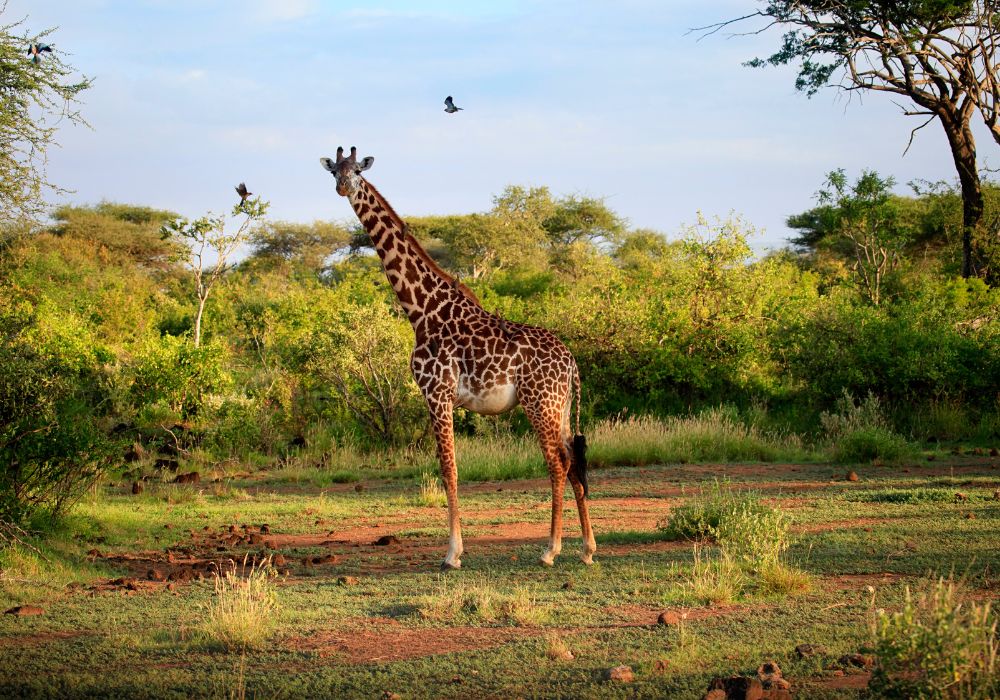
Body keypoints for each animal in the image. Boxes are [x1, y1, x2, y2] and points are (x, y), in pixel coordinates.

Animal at [322, 148, 592, 568]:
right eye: (335, 170)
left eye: (357, 173)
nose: (342, 187)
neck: (420, 309)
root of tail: (571, 362)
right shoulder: (440, 397)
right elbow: (447, 468)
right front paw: (455, 550)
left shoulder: (437, 393)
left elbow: (448, 469)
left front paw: (452, 554)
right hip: (559, 406)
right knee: (574, 460)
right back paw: (587, 548)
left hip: (539, 403)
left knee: (558, 464)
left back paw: (551, 550)